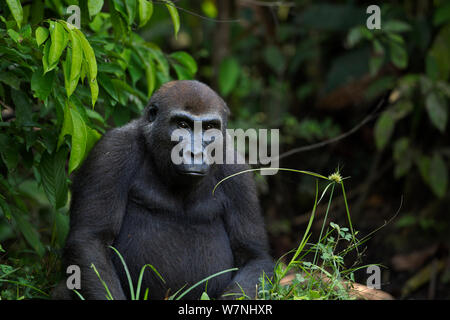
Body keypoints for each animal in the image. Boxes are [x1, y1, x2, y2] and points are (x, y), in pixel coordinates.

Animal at [52, 80, 274, 300]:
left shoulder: (238, 172)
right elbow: (91, 240)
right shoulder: (112, 150)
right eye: (182, 125)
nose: (196, 153)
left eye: (210, 128)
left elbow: (253, 256)